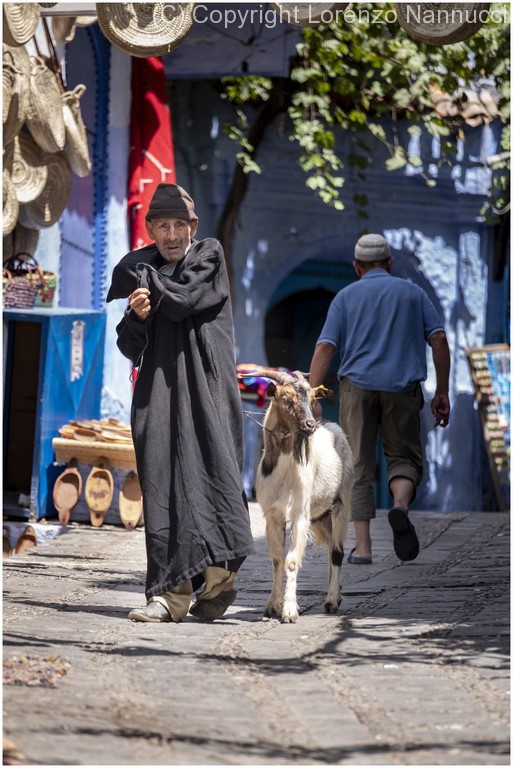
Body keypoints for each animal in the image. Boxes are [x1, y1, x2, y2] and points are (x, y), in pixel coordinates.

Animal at [244, 368, 352, 624]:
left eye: (312, 399)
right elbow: (277, 559)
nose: (310, 425)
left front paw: (290, 611)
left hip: (341, 504)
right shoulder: (272, 515)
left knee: (337, 552)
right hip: (320, 516)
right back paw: (337, 593)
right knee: (331, 548)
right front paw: (272, 606)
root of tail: (333, 428)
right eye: (286, 399)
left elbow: (292, 561)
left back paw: (331, 601)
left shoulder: (299, 514)